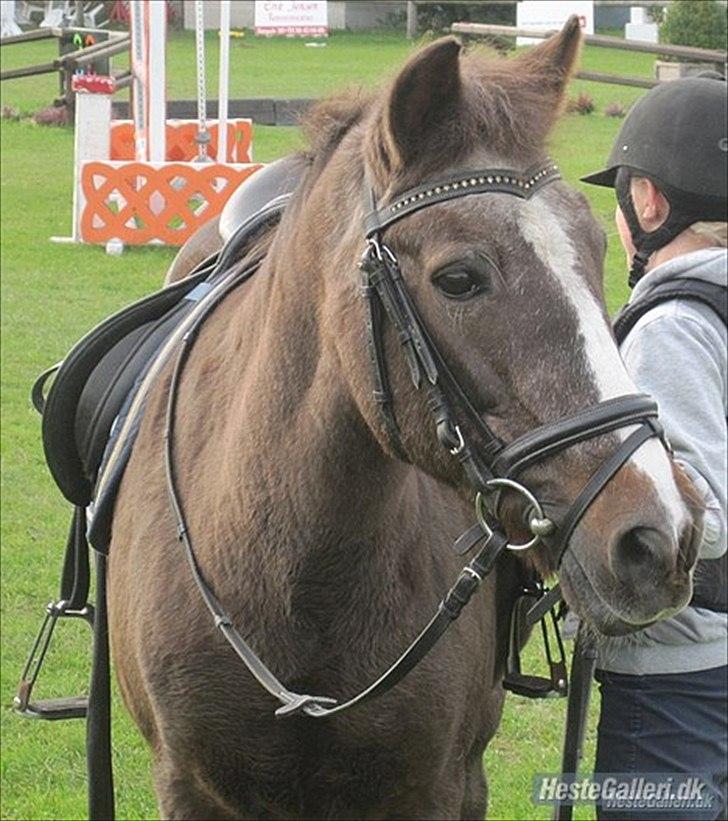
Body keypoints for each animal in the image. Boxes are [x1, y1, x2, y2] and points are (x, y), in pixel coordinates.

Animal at [108, 20, 701, 819]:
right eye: (459, 278)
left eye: (597, 250)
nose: (659, 537)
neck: (298, 569)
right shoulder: (189, 787)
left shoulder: (437, 786)